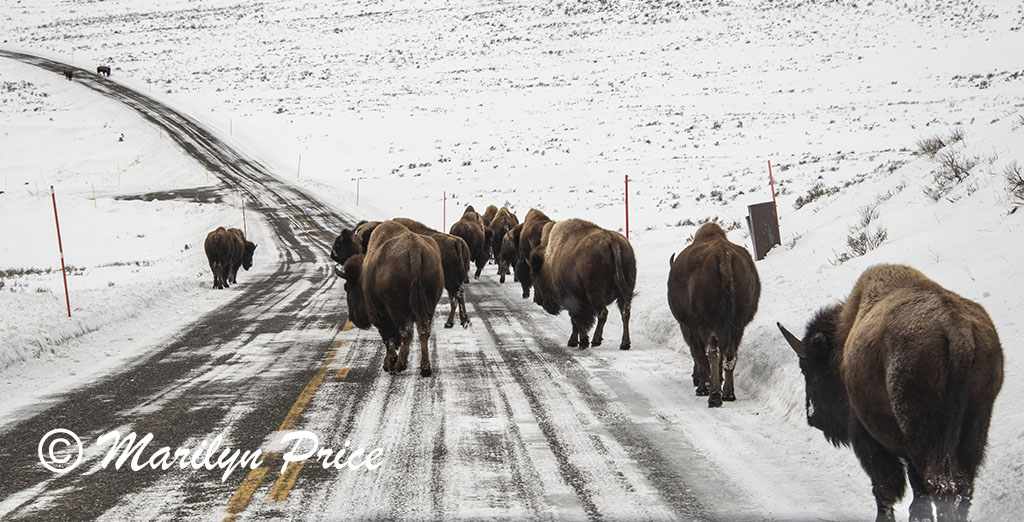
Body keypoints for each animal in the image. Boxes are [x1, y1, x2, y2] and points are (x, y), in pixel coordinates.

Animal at [336, 221, 444, 376]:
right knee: (424, 332)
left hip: (398, 310)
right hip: (429, 306)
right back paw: (425, 368)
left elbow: (388, 338)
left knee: (406, 333)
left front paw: (389, 364)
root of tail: (414, 249)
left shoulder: (379, 315)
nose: (353, 318)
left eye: (347, 288)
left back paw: (400, 364)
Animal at [528, 219, 635, 350]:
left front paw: (578, 341)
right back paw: (625, 343)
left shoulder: (572, 300)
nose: (536, 300)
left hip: (595, 293)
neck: (549, 260)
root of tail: (612, 240)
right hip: (625, 291)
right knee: (625, 312)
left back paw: (596, 341)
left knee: (603, 313)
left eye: (533, 274)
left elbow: (576, 320)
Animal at [668, 223, 760, 407]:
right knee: (730, 354)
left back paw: (714, 396)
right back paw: (728, 394)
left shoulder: (691, 328)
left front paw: (703, 386)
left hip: (707, 324)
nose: (694, 380)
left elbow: (699, 355)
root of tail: (723, 255)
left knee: (712, 353)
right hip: (738, 324)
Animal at [777, 264, 1003, 522]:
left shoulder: (867, 437)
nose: (812, 416)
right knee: (962, 486)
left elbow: (885, 487)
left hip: (922, 433)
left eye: (806, 368)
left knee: (939, 486)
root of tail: (957, 332)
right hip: (976, 422)